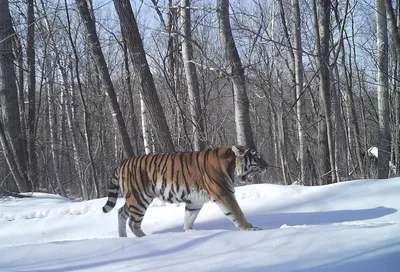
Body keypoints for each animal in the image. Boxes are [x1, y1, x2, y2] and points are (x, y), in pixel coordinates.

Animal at [101, 146, 268, 237]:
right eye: (257, 158)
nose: (267, 166)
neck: (231, 166)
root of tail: (122, 162)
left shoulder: (195, 201)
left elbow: (189, 219)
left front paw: (189, 233)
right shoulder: (224, 194)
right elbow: (237, 213)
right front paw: (251, 228)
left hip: (134, 198)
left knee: (121, 212)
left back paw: (122, 237)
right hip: (139, 198)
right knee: (133, 223)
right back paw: (145, 238)